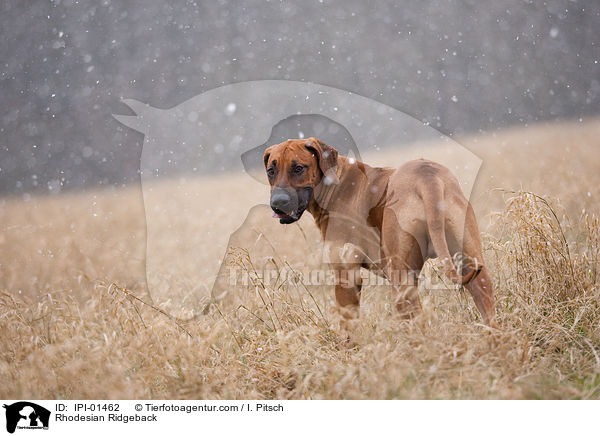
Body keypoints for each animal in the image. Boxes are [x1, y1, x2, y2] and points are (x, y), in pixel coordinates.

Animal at [264, 138, 496, 326]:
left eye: (298, 168)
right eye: (271, 171)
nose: (277, 203)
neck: (335, 184)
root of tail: (428, 177)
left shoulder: (346, 275)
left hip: (401, 279)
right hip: (473, 267)